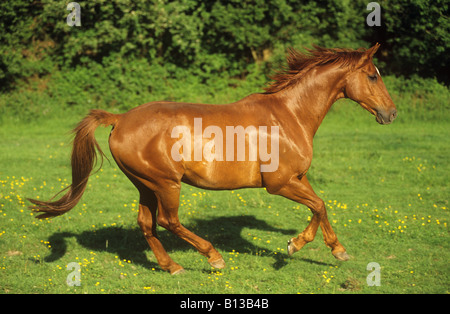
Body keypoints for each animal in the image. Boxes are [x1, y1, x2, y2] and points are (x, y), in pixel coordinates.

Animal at [28, 43, 396, 274]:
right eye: (373, 75)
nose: (391, 113)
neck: (289, 116)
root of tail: (119, 119)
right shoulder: (279, 184)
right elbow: (318, 206)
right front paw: (294, 246)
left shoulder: (298, 178)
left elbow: (322, 206)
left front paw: (338, 250)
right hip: (166, 183)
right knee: (169, 221)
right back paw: (213, 258)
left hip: (144, 184)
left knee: (147, 224)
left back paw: (172, 267)